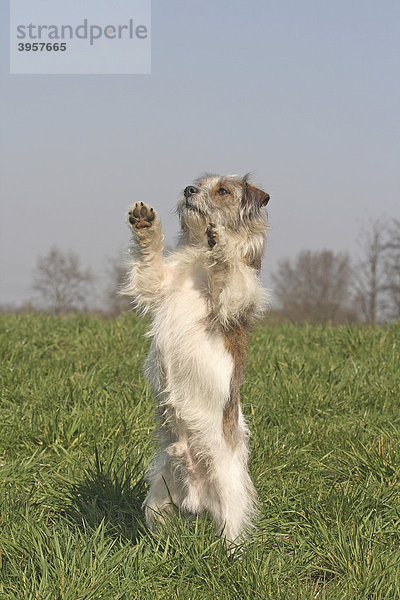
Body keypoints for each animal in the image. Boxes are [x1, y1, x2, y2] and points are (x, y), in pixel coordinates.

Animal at [123, 173, 270, 544]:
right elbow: (149, 264)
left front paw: (222, 244)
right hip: (159, 497)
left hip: (229, 496)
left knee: (233, 536)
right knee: (161, 528)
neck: (198, 258)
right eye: (197, 183)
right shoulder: (158, 284)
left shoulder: (233, 301)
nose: (189, 191)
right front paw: (144, 223)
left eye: (223, 191)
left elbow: (230, 275)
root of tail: (197, 500)